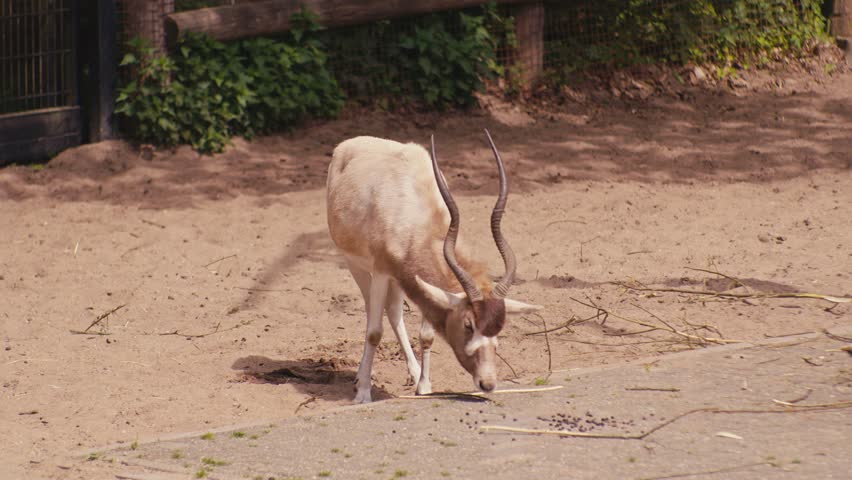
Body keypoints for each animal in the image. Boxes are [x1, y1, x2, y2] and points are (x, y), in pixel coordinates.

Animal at [326, 131, 541, 403]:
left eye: (499, 326)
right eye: (468, 325)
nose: (488, 383)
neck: (412, 211)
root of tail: (347, 145)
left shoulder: (417, 278)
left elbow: (426, 336)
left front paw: (424, 386)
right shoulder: (381, 271)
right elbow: (374, 332)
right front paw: (363, 394)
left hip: (397, 277)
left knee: (394, 312)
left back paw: (413, 371)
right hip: (356, 264)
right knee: (374, 313)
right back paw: (361, 379)